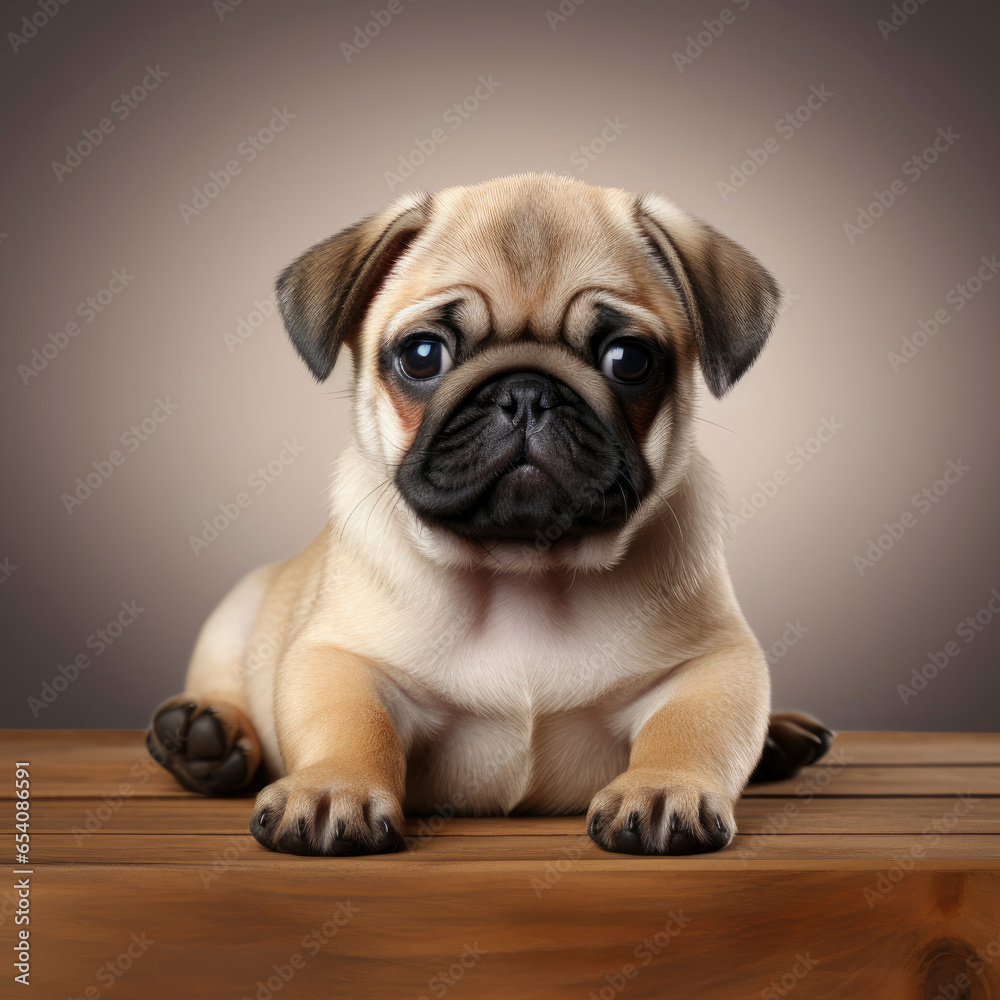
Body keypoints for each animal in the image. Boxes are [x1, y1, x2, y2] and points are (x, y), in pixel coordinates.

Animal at [145, 174, 832, 860]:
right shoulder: (337, 656)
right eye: (423, 355)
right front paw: (331, 787)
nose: (525, 391)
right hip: (236, 615)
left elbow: (692, 728)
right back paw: (203, 735)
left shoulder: (715, 663)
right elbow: (347, 723)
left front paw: (664, 788)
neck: (523, 570)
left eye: (628, 360)